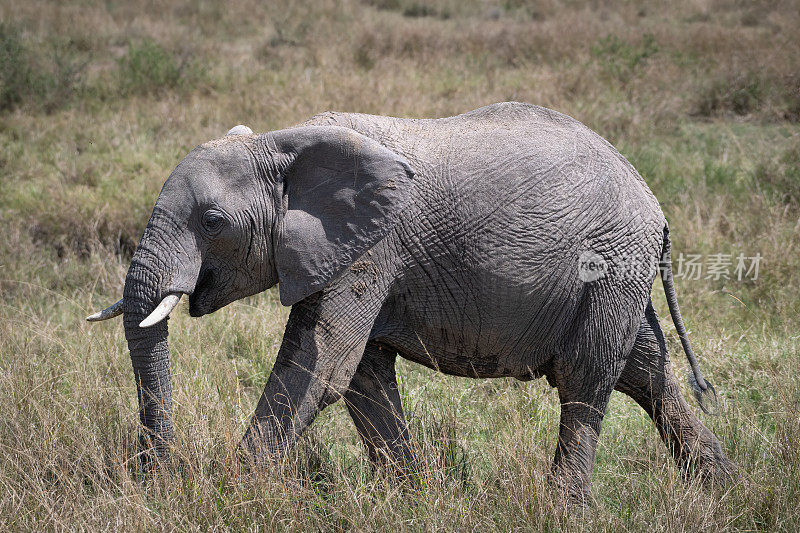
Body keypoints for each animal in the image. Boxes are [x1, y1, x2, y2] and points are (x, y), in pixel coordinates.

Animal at [87, 103, 732, 498]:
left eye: (212, 221)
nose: (159, 471)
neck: (284, 141)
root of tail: (653, 203)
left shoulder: (371, 247)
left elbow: (320, 364)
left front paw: (231, 495)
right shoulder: (355, 253)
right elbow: (362, 376)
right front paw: (411, 497)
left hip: (611, 263)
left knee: (585, 378)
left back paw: (565, 510)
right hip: (615, 273)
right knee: (642, 369)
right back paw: (725, 489)